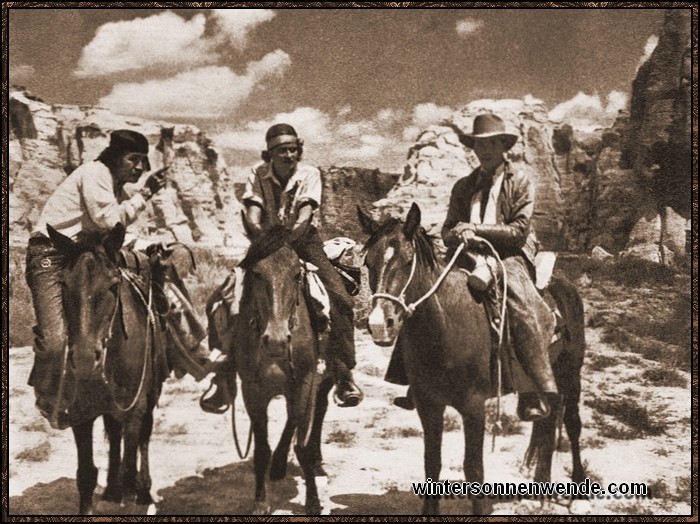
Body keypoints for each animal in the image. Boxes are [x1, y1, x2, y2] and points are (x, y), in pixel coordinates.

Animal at [46, 223, 167, 512]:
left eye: (113, 286)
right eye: (64, 284)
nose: (85, 358)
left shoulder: (135, 409)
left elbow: (130, 469)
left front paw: (135, 494)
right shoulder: (81, 413)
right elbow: (86, 474)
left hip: (150, 397)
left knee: (144, 437)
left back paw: (144, 491)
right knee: (113, 434)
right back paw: (112, 489)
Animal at [227, 223, 330, 512]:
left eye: (296, 274)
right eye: (256, 273)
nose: (276, 340)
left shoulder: (304, 381)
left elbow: (301, 441)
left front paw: (313, 501)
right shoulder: (252, 390)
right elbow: (262, 448)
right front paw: (261, 501)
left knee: (315, 411)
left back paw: (314, 462)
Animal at [360, 203, 584, 512]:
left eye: (408, 261)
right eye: (368, 263)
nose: (380, 324)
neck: (445, 327)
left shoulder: (473, 407)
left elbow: (474, 470)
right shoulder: (429, 405)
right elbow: (432, 464)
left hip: (572, 372)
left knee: (572, 424)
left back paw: (578, 493)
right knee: (548, 425)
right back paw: (541, 490)